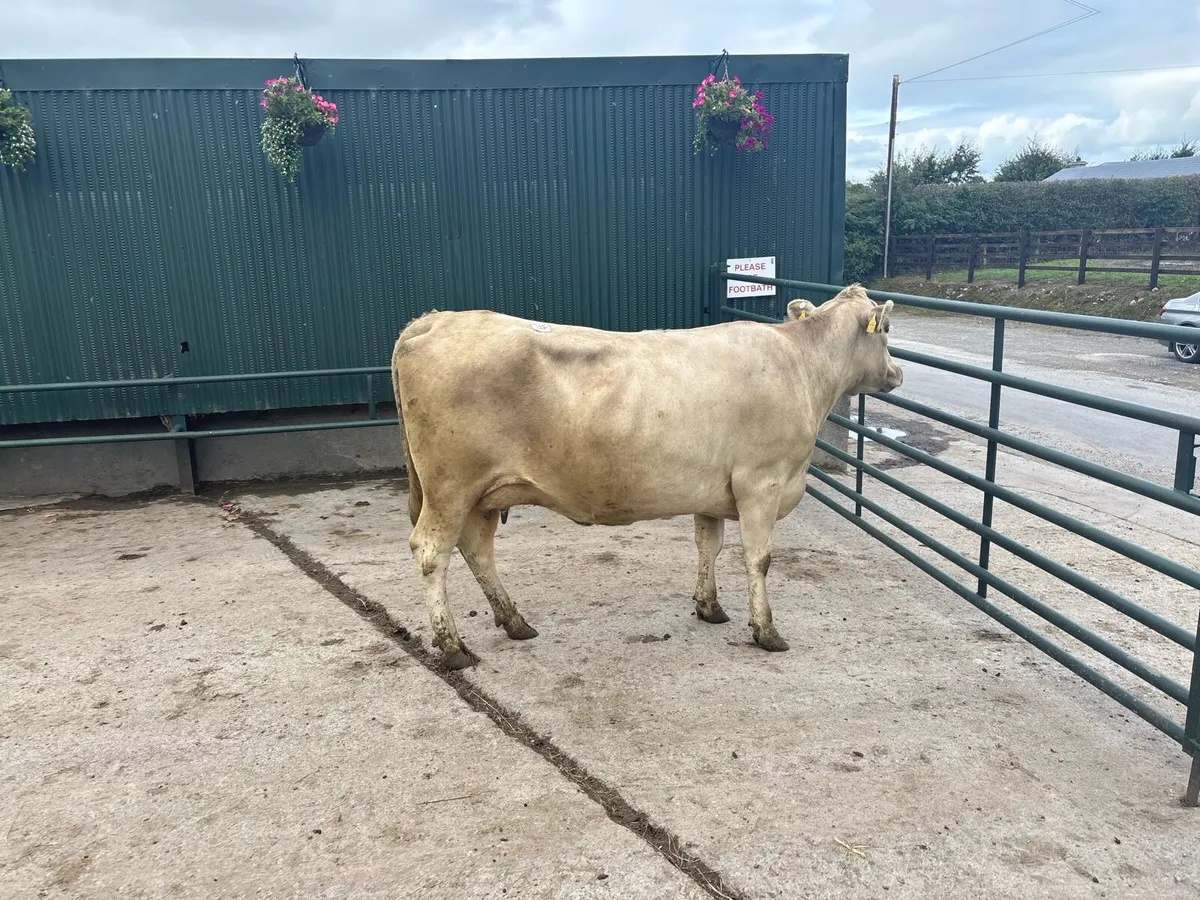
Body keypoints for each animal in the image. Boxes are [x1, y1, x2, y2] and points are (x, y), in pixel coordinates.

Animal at [390, 284, 903, 669]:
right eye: (887, 330)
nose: (897, 374)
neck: (800, 365)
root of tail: (434, 319)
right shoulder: (762, 482)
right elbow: (758, 558)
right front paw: (767, 631)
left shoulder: (713, 491)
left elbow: (709, 546)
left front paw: (709, 607)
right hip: (451, 487)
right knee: (431, 552)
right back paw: (453, 647)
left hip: (482, 493)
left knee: (477, 549)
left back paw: (515, 623)